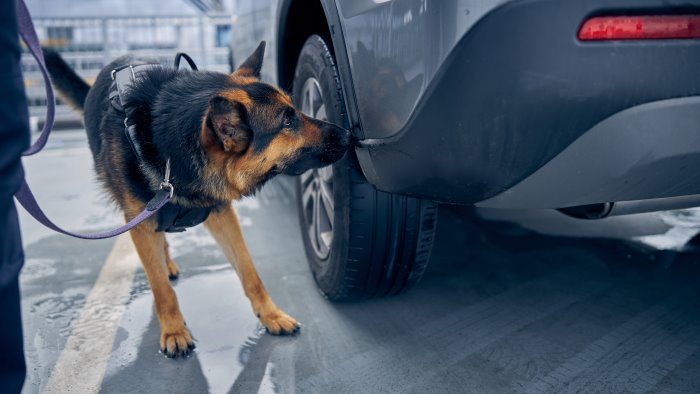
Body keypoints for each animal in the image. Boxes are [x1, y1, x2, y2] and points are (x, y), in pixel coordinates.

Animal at [43, 43, 350, 358]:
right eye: (287, 121)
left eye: (296, 109)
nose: (348, 133)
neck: (169, 150)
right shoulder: (139, 223)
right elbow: (161, 289)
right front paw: (174, 331)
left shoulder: (222, 214)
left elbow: (250, 272)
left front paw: (271, 315)